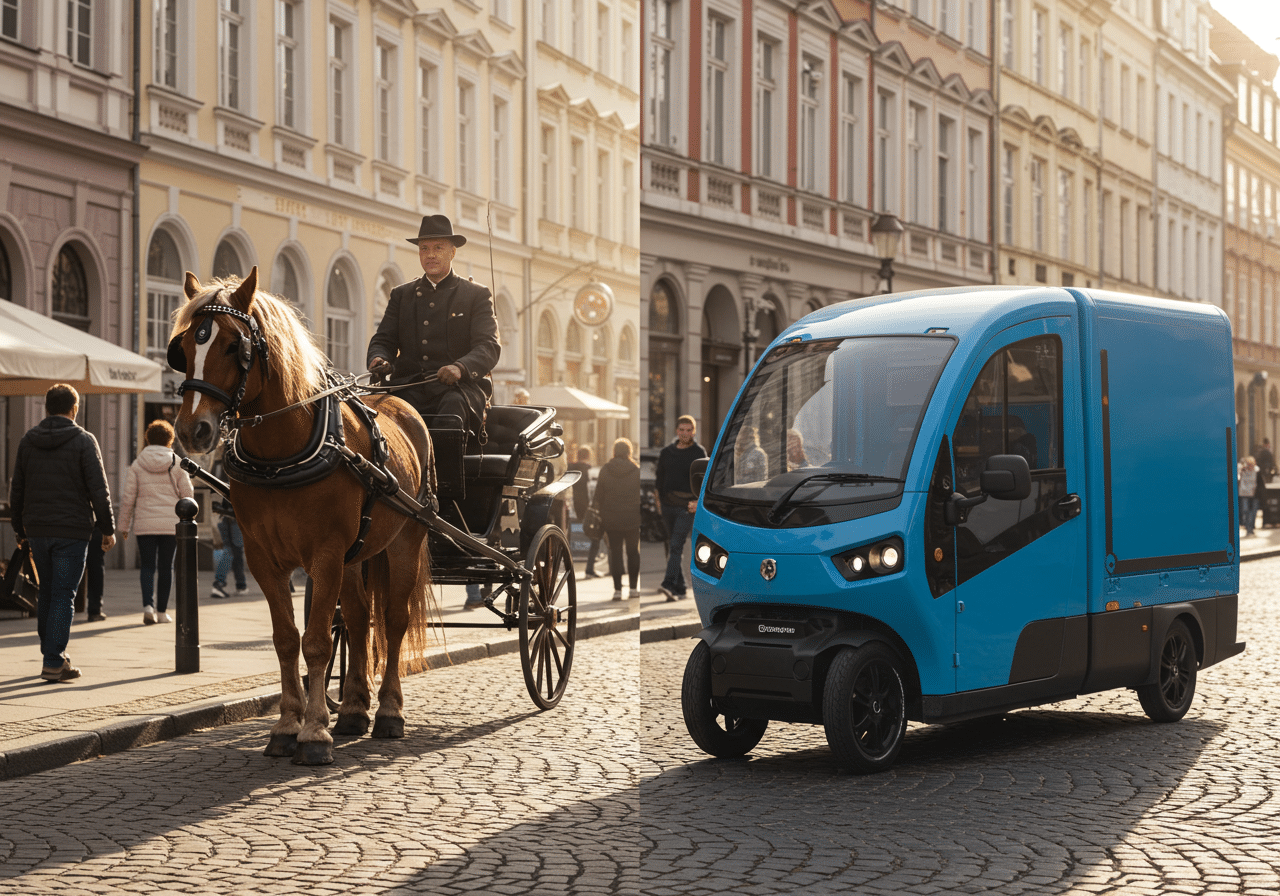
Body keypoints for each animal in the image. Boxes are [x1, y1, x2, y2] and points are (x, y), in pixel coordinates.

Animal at [168, 266, 435, 762]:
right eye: (184, 346)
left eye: (234, 346)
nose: (194, 430)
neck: (282, 453)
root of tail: (400, 403)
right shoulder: (262, 557)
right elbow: (287, 639)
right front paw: (288, 725)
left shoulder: (325, 554)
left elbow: (316, 642)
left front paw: (313, 734)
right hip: (357, 554)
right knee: (357, 618)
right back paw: (353, 709)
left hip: (407, 540)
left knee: (393, 620)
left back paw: (389, 712)